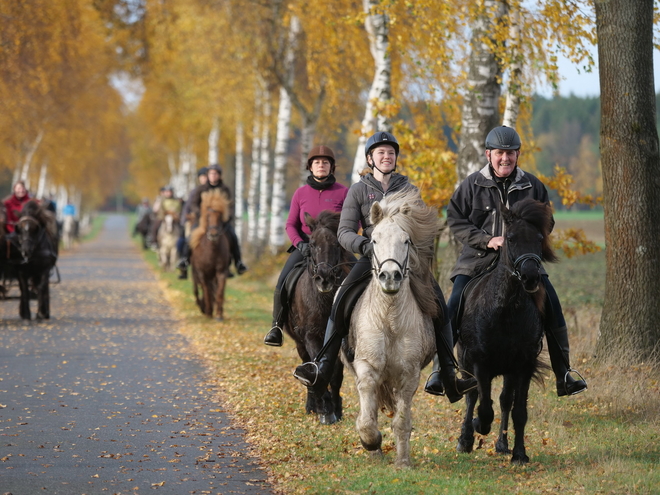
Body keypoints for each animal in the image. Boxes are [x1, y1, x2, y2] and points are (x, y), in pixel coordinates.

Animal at [189, 190, 231, 322]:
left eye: (220, 217)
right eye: (207, 217)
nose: (213, 234)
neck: (211, 250)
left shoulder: (221, 272)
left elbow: (219, 292)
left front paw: (219, 314)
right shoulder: (202, 273)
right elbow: (206, 291)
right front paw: (208, 312)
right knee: (200, 290)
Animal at [284, 211, 354, 424]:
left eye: (337, 244)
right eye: (313, 243)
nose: (324, 278)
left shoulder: (337, 338)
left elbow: (335, 374)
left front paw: (336, 408)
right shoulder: (311, 336)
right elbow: (318, 367)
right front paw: (325, 408)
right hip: (299, 342)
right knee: (307, 361)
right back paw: (311, 405)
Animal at [342, 189, 440, 468]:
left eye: (406, 241)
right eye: (373, 240)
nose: (390, 277)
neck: (390, 320)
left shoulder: (409, 375)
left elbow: (402, 421)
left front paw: (403, 461)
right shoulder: (366, 367)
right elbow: (367, 417)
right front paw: (371, 442)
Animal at [454, 198, 556, 464]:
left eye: (539, 238)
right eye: (510, 238)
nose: (530, 277)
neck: (505, 310)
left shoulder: (523, 365)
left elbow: (518, 410)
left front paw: (519, 453)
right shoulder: (480, 363)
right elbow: (483, 407)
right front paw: (477, 427)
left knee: (504, 401)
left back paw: (502, 444)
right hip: (465, 361)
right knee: (472, 398)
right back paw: (465, 440)